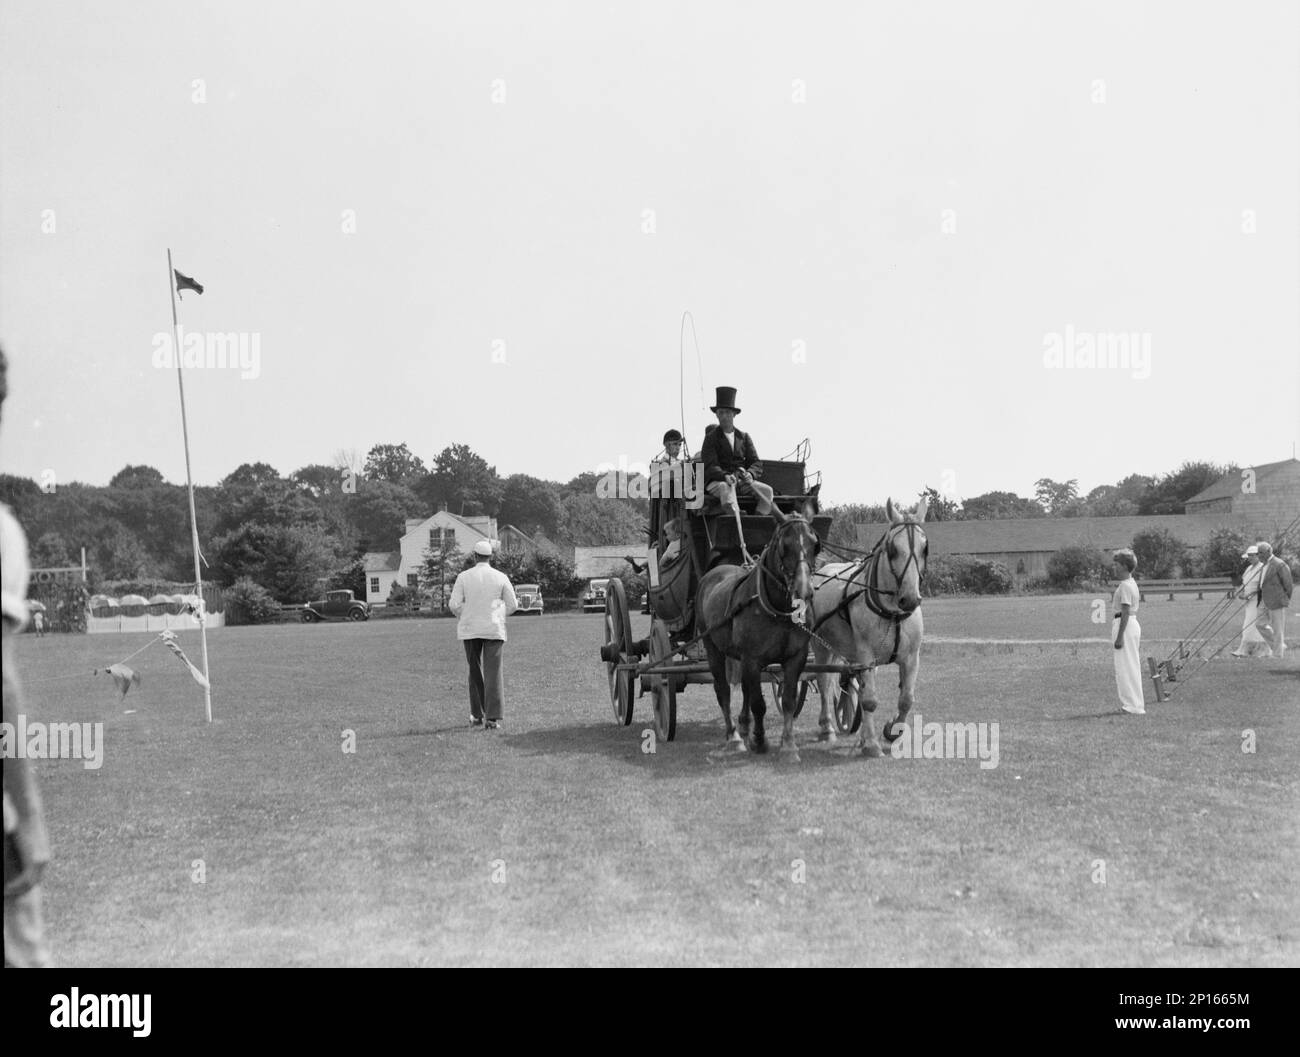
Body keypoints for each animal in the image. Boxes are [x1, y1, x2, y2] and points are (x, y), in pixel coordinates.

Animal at [696, 501, 816, 759]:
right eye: (784, 545)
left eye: (815, 543)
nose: (803, 591)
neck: (778, 609)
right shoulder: (752, 658)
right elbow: (758, 704)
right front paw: (760, 741)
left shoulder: (796, 657)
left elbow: (788, 700)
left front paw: (789, 745)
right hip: (712, 647)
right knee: (723, 690)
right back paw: (734, 736)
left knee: (744, 689)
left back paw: (743, 725)